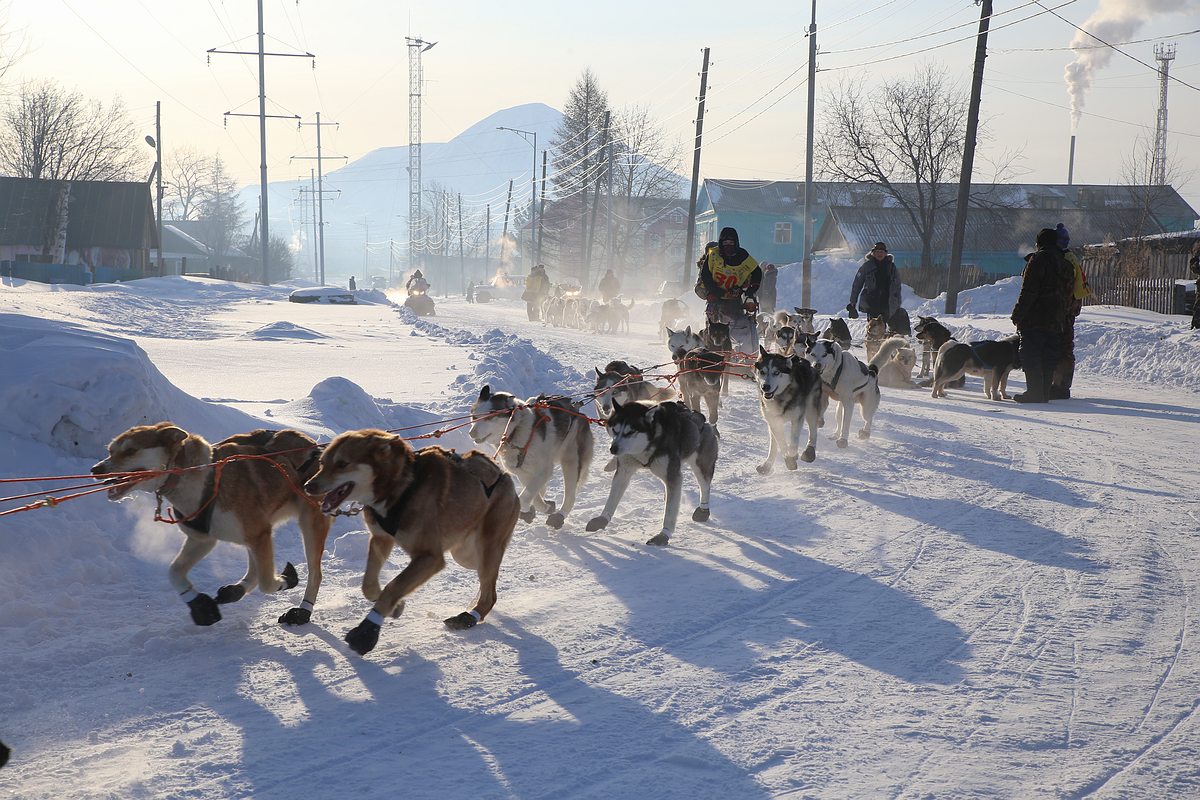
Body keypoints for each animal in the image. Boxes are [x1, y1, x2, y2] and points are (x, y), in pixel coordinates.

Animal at [92, 422, 333, 628]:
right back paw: (238, 589)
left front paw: (286, 580)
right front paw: (199, 605)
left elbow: (267, 583)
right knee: (255, 567)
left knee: (314, 574)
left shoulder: (257, 533)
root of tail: (313, 446)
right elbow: (174, 572)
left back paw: (302, 611)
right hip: (256, 533)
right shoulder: (203, 539)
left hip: (309, 524)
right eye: (111, 450)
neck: (200, 480)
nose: (96, 469)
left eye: (130, 450)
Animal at [302, 431, 518, 657]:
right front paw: (395, 606)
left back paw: (469, 616)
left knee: (489, 594)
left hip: (485, 549)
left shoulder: (430, 557)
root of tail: (503, 475)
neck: (400, 488)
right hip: (465, 554)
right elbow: (369, 586)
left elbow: (393, 586)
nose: (308, 486)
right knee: (488, 585)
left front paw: (367, 632)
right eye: (322, 462)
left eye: (342, 464)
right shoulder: (381, 539)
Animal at [465, 388, 592, 532]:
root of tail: (576, 408)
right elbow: (533, 495)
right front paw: (544, 507)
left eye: (490, 415)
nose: (471, 433)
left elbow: (525, 496)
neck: (514, 433)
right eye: (474, 417)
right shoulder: (522, 472)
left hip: (571, 460)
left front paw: (532, 507)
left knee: (570, 495)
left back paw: (559, 515)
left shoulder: (543, 470)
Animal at [585, 402, 715, 546]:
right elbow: (612, 499)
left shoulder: (673, 475)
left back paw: (703, 510)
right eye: (615, 430)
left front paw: (663, 535)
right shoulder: (624, 470)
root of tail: (702, 420)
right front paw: (602, 519)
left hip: (700, 465)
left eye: (630, 432)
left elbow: (670, 511)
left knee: (704, 486)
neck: (645, 447)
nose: (613, 448)